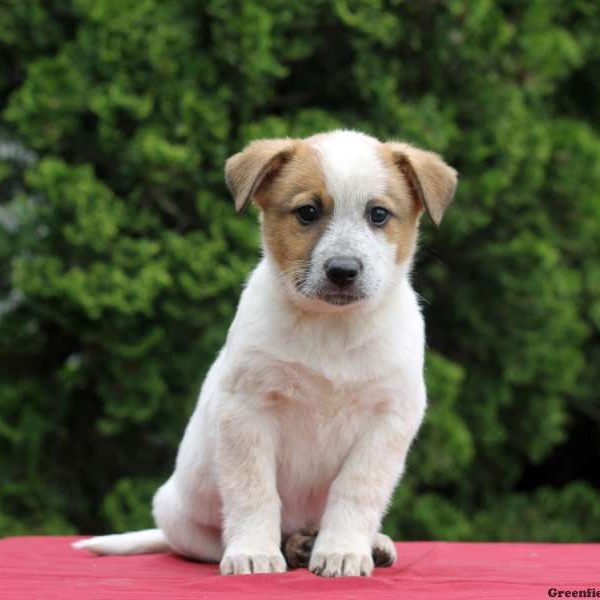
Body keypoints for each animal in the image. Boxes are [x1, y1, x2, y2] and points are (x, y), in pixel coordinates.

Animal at [76, 130, 460, 576]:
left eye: (378, 214)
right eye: (308, 212)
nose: (343, 270)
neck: (332, 327)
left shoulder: (389, 418)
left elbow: (355, 489)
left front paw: (344, 549)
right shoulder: (247, 411)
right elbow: (253, 491)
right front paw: (253, 552)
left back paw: (356, 543)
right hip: (183, 518)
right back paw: (288, 546)